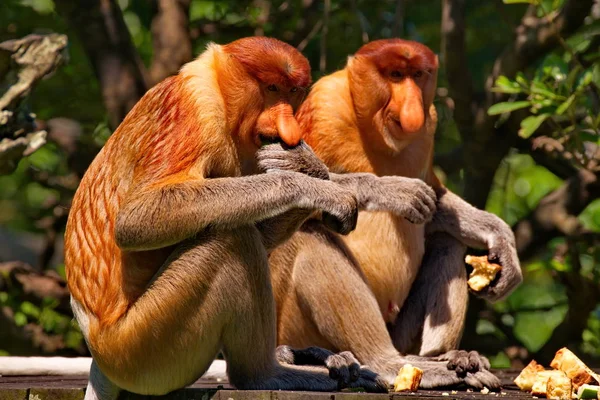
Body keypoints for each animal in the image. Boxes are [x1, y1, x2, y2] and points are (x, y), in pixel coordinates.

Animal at [63, 37, 394, 400]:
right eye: (271, 88)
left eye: (293, 92)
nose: (289, 128)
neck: (221, 96)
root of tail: (98, 347)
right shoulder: (193, 112)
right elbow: (137, 218)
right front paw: (310, 185)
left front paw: (306, 165)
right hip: (144, 348)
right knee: (232, 239)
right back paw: (268, 375)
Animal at [264, 39, 524, 390]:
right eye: (396, 75)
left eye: (418, 75)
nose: (411, 104)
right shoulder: (324, 106)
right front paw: (396, 192)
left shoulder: (429, 124)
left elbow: (436, 201)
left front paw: (500, 237)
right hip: (291, 323)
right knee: (309, 234)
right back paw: (387, 364)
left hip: (400, 332)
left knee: (447, 242)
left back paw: (447, 357)